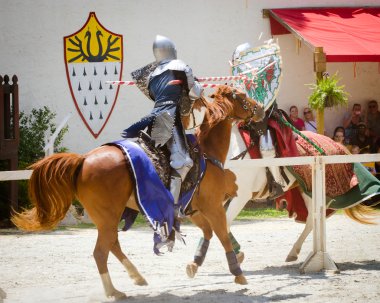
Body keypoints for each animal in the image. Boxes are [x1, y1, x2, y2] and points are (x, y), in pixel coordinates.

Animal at [11, 85, 264, 302]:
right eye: (242, 95)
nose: (260, 108)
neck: (206, 153)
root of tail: (83, 160)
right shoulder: (213, 207)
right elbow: (222, 234)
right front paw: (238, 273)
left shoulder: (194, 211)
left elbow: (209, 233)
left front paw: (194, 265)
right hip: (109, 215)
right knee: (101, 252)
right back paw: (113, 291)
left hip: (106, 217)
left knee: (112, 244)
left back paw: (136, 277)